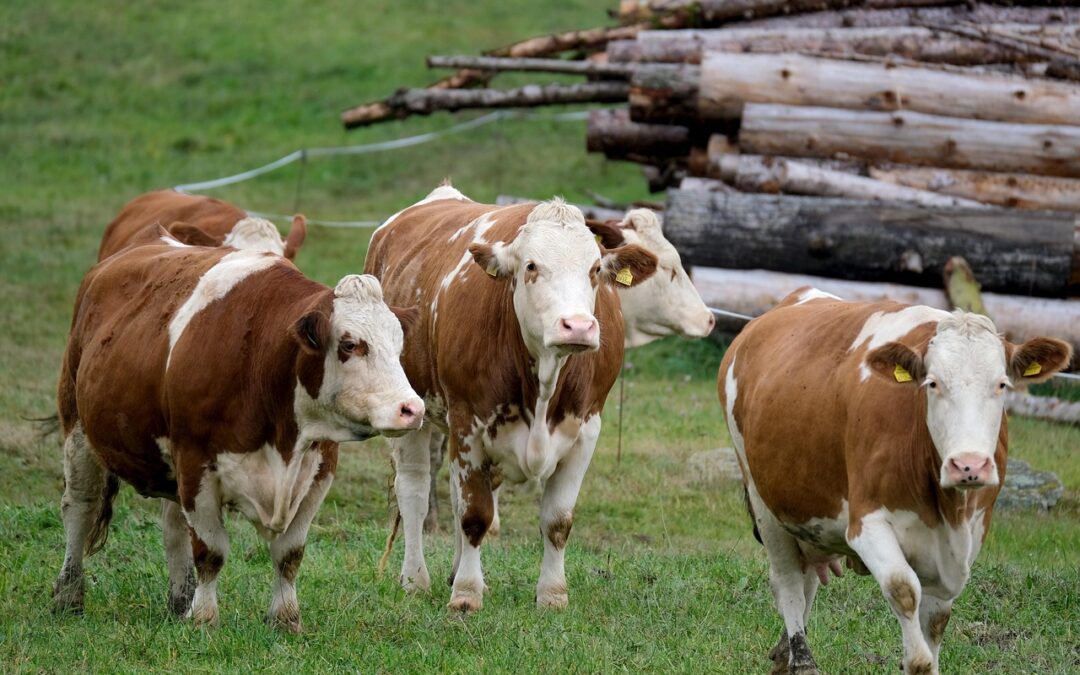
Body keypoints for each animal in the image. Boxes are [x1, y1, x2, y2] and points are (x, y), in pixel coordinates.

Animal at [54, 228, 423, 631]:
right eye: (350, 344)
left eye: (400, 345)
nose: (411, 409)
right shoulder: (195, 464)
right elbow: (211, 550)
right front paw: (204, 619)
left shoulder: (319, 470)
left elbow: (289, 553)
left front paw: (285, 618)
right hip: (78, 428)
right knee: (80, 507)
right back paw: (68, 596)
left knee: (172, 526)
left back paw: (179, 600)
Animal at [365, 183, 658, 611]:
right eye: (531, 266)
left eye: (594, 270)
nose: (578, 326)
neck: (545, 382)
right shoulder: (467, 423)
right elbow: (474, 515)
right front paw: (466, 595)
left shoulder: (587, 429)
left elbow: (557, 520)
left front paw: (552, 594)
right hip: (411, 412)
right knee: (415, 491)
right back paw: (416, 579)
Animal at [718, 288, 1072, 674]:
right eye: (932, 383)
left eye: (1002, 384)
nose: (969, 465)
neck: (947, 511)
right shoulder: (866, 524)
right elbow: (904, 592)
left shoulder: (969, 536)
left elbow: (937, 620)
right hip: (764, 501)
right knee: (788, 582)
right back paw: (801, 659)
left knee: (807, 577)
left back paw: (784, 655)